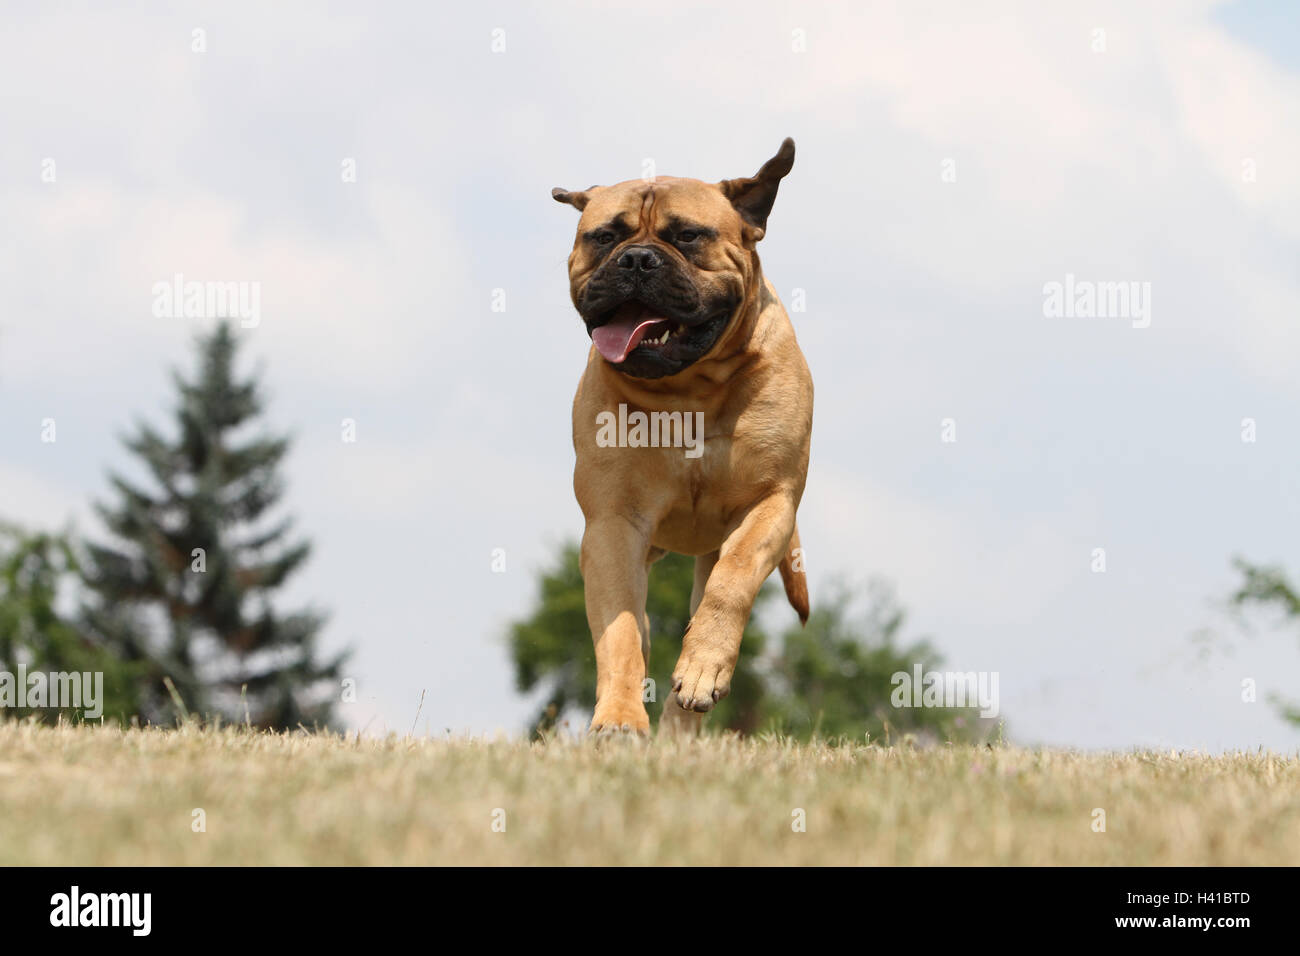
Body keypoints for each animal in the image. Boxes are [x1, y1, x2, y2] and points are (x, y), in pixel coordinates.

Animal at [551, 136, 811, 733]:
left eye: (688, 235)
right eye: (605, 236)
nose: (636, 259)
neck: (688, 388)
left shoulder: (770, 502)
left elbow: (731, 583)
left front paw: (701, 668)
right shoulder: (613, 523)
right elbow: (621, 631)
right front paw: (620, 718)